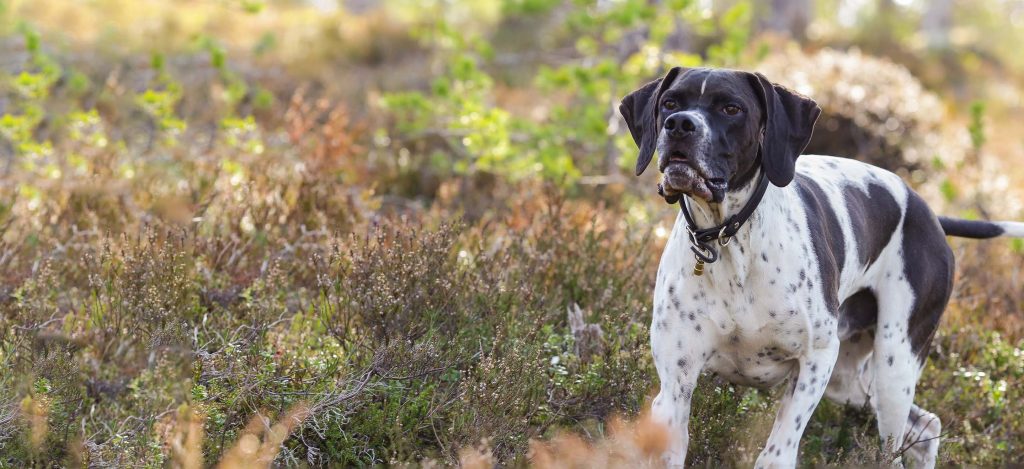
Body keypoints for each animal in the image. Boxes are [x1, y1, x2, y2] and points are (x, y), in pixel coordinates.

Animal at [614, 67, 1024, 469]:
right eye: (669, 103)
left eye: (731, 108)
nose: (679, 125)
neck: (731, 243)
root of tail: (930, 213)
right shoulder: (675, 389)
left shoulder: (815, 360)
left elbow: (777, 453)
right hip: (852, 381)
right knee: (926, 426)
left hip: (893, 367)